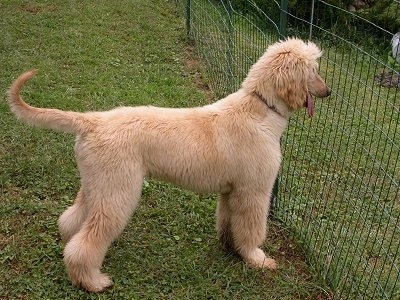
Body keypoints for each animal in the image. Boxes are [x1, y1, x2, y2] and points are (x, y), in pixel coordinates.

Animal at [7, 37, 332, 290]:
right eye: (314, 71)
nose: (328, 92)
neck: (260, 109)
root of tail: (91, 121)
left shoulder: (232, 190)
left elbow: (228, 222)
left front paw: (230, 248)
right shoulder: (254, 190)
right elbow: (251, 229)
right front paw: (256, 259)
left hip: (97, 184)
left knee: (71, 221)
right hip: (118, 191)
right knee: (86, 241)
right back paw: (92, 281)